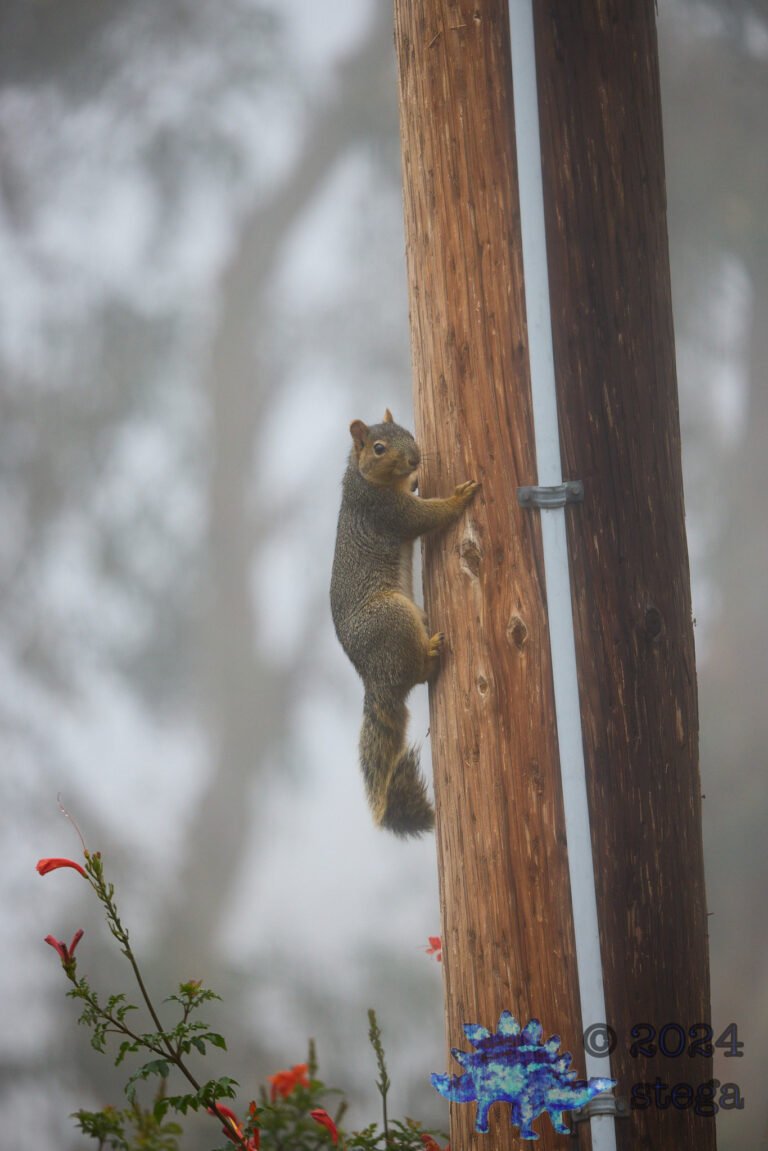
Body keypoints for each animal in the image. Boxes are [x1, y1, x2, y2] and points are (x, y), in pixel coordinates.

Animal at [330, 409, 479, 836]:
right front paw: (460, 497)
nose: (415, 460)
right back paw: (431, 652)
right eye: (379, 448)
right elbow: (425, 516)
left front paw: (417, 481)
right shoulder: (386, 510)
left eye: (409, 433)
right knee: (416, 673)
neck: (362, 477)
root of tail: (374, 680)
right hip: (394, 620)